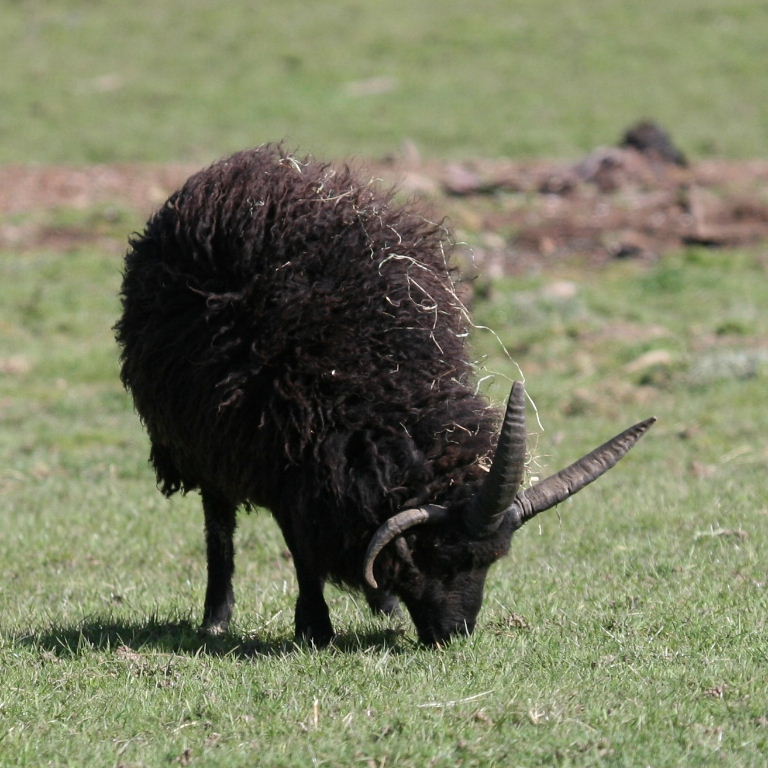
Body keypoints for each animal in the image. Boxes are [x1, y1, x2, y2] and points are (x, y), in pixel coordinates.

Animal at [115, 145, 654, 646]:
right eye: (430, 555)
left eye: (490, 562)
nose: (453, 635)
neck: (382, 390)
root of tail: (238, 167)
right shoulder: (286, 459)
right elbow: (301, 546)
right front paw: (315, 626)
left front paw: (376, 603)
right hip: (200, 438)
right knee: (218, 519)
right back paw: (217, 616)